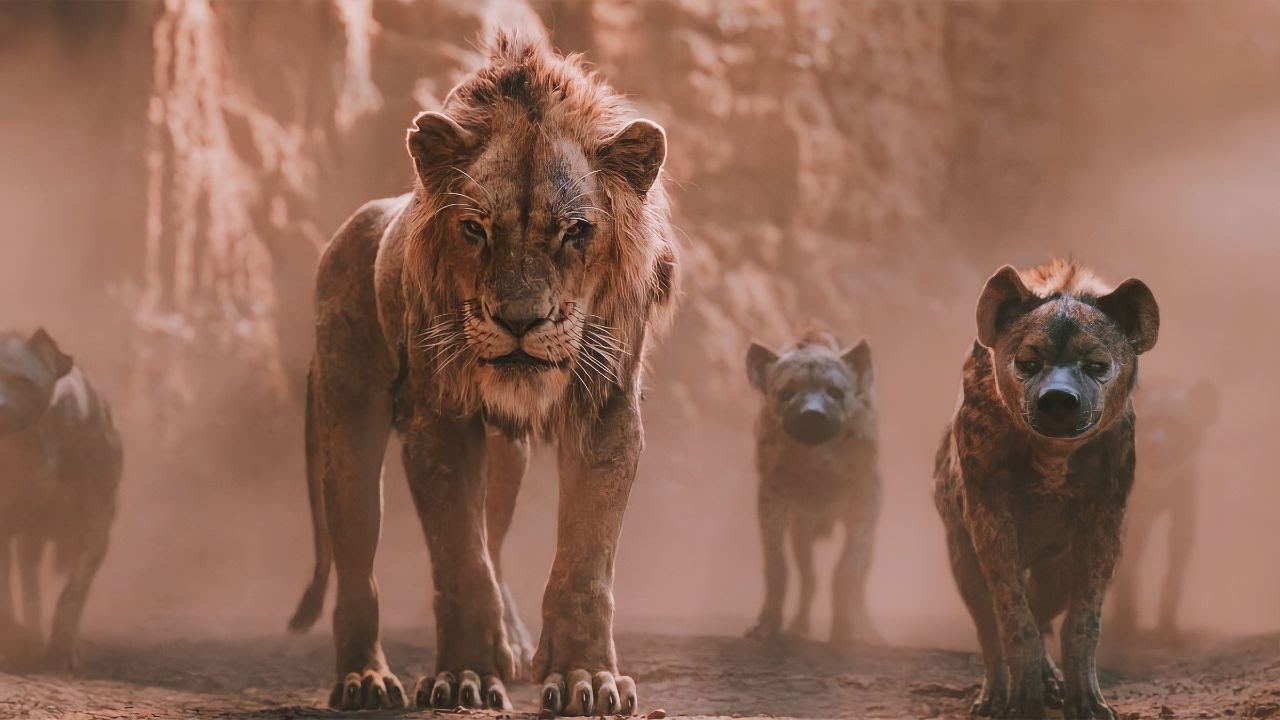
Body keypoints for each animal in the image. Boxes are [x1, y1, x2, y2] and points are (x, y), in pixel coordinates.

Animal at [286, 32, 678, 714]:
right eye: (474, 228)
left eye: (575, 231)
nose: (520, 321)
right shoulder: (439, 419)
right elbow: (459, 560)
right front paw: (465, 676)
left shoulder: (606, 411)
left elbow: (583, 563)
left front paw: (584, 678)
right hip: (348, 424)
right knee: (359, 561)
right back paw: (364, 679)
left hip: (505, 458)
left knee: (493, 538)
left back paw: (513, 643)